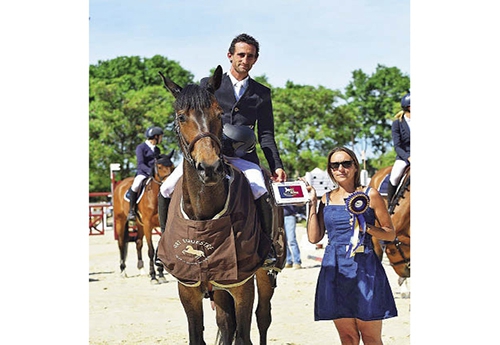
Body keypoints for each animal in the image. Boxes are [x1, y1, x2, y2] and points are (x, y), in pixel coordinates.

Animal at [112, 152, 175, 284]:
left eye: (172, 167)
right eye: (159, 167)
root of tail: (120, 185)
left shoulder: (161, 224)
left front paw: (161, 274)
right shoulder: (148, 225)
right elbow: (151, 250)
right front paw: (154, 276)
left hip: (139, 225)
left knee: (138, 243)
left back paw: (142, 270)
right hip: (120, 221)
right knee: (121, 244)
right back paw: (123, 270)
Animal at [156, 65, 286, 344]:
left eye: (218, 114)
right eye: (181, 117)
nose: (210, 168)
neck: (203, 214)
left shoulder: (242, 286)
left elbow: (245, 335)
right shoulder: (188, 289)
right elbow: (200, 335)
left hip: (265, 274)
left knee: (263, 317)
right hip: (219, 288)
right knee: (226, 323)